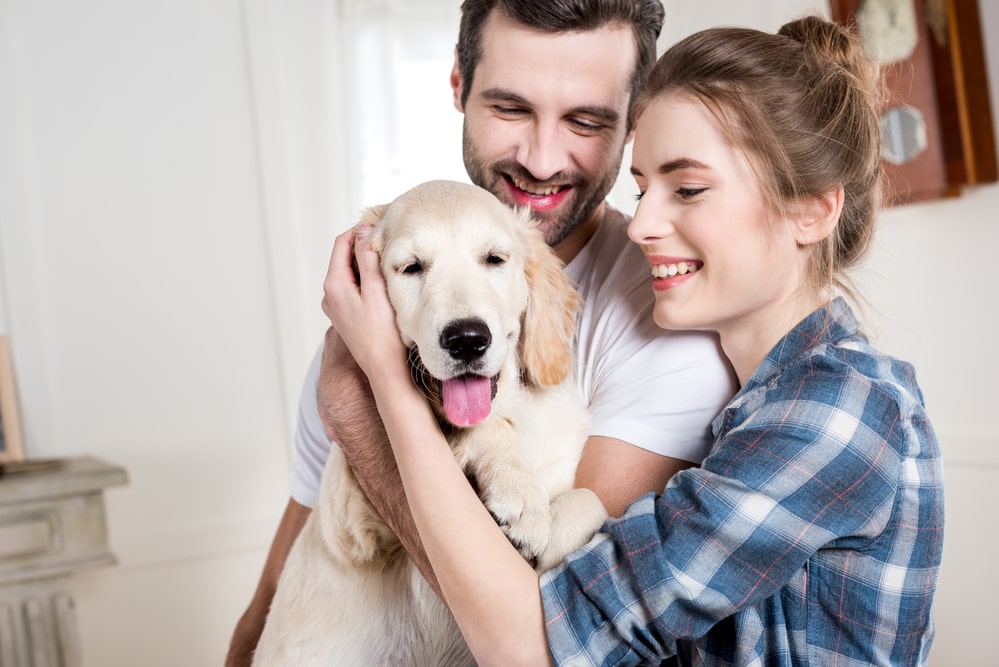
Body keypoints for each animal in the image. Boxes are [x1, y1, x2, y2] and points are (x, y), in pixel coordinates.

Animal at [254, 181, 604, 667]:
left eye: (494, 259)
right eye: (411, 267)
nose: (467, 340)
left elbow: (589, 500)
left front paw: (545, 542)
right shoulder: (348, 517)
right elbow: (487, 431)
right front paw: (520, 496)